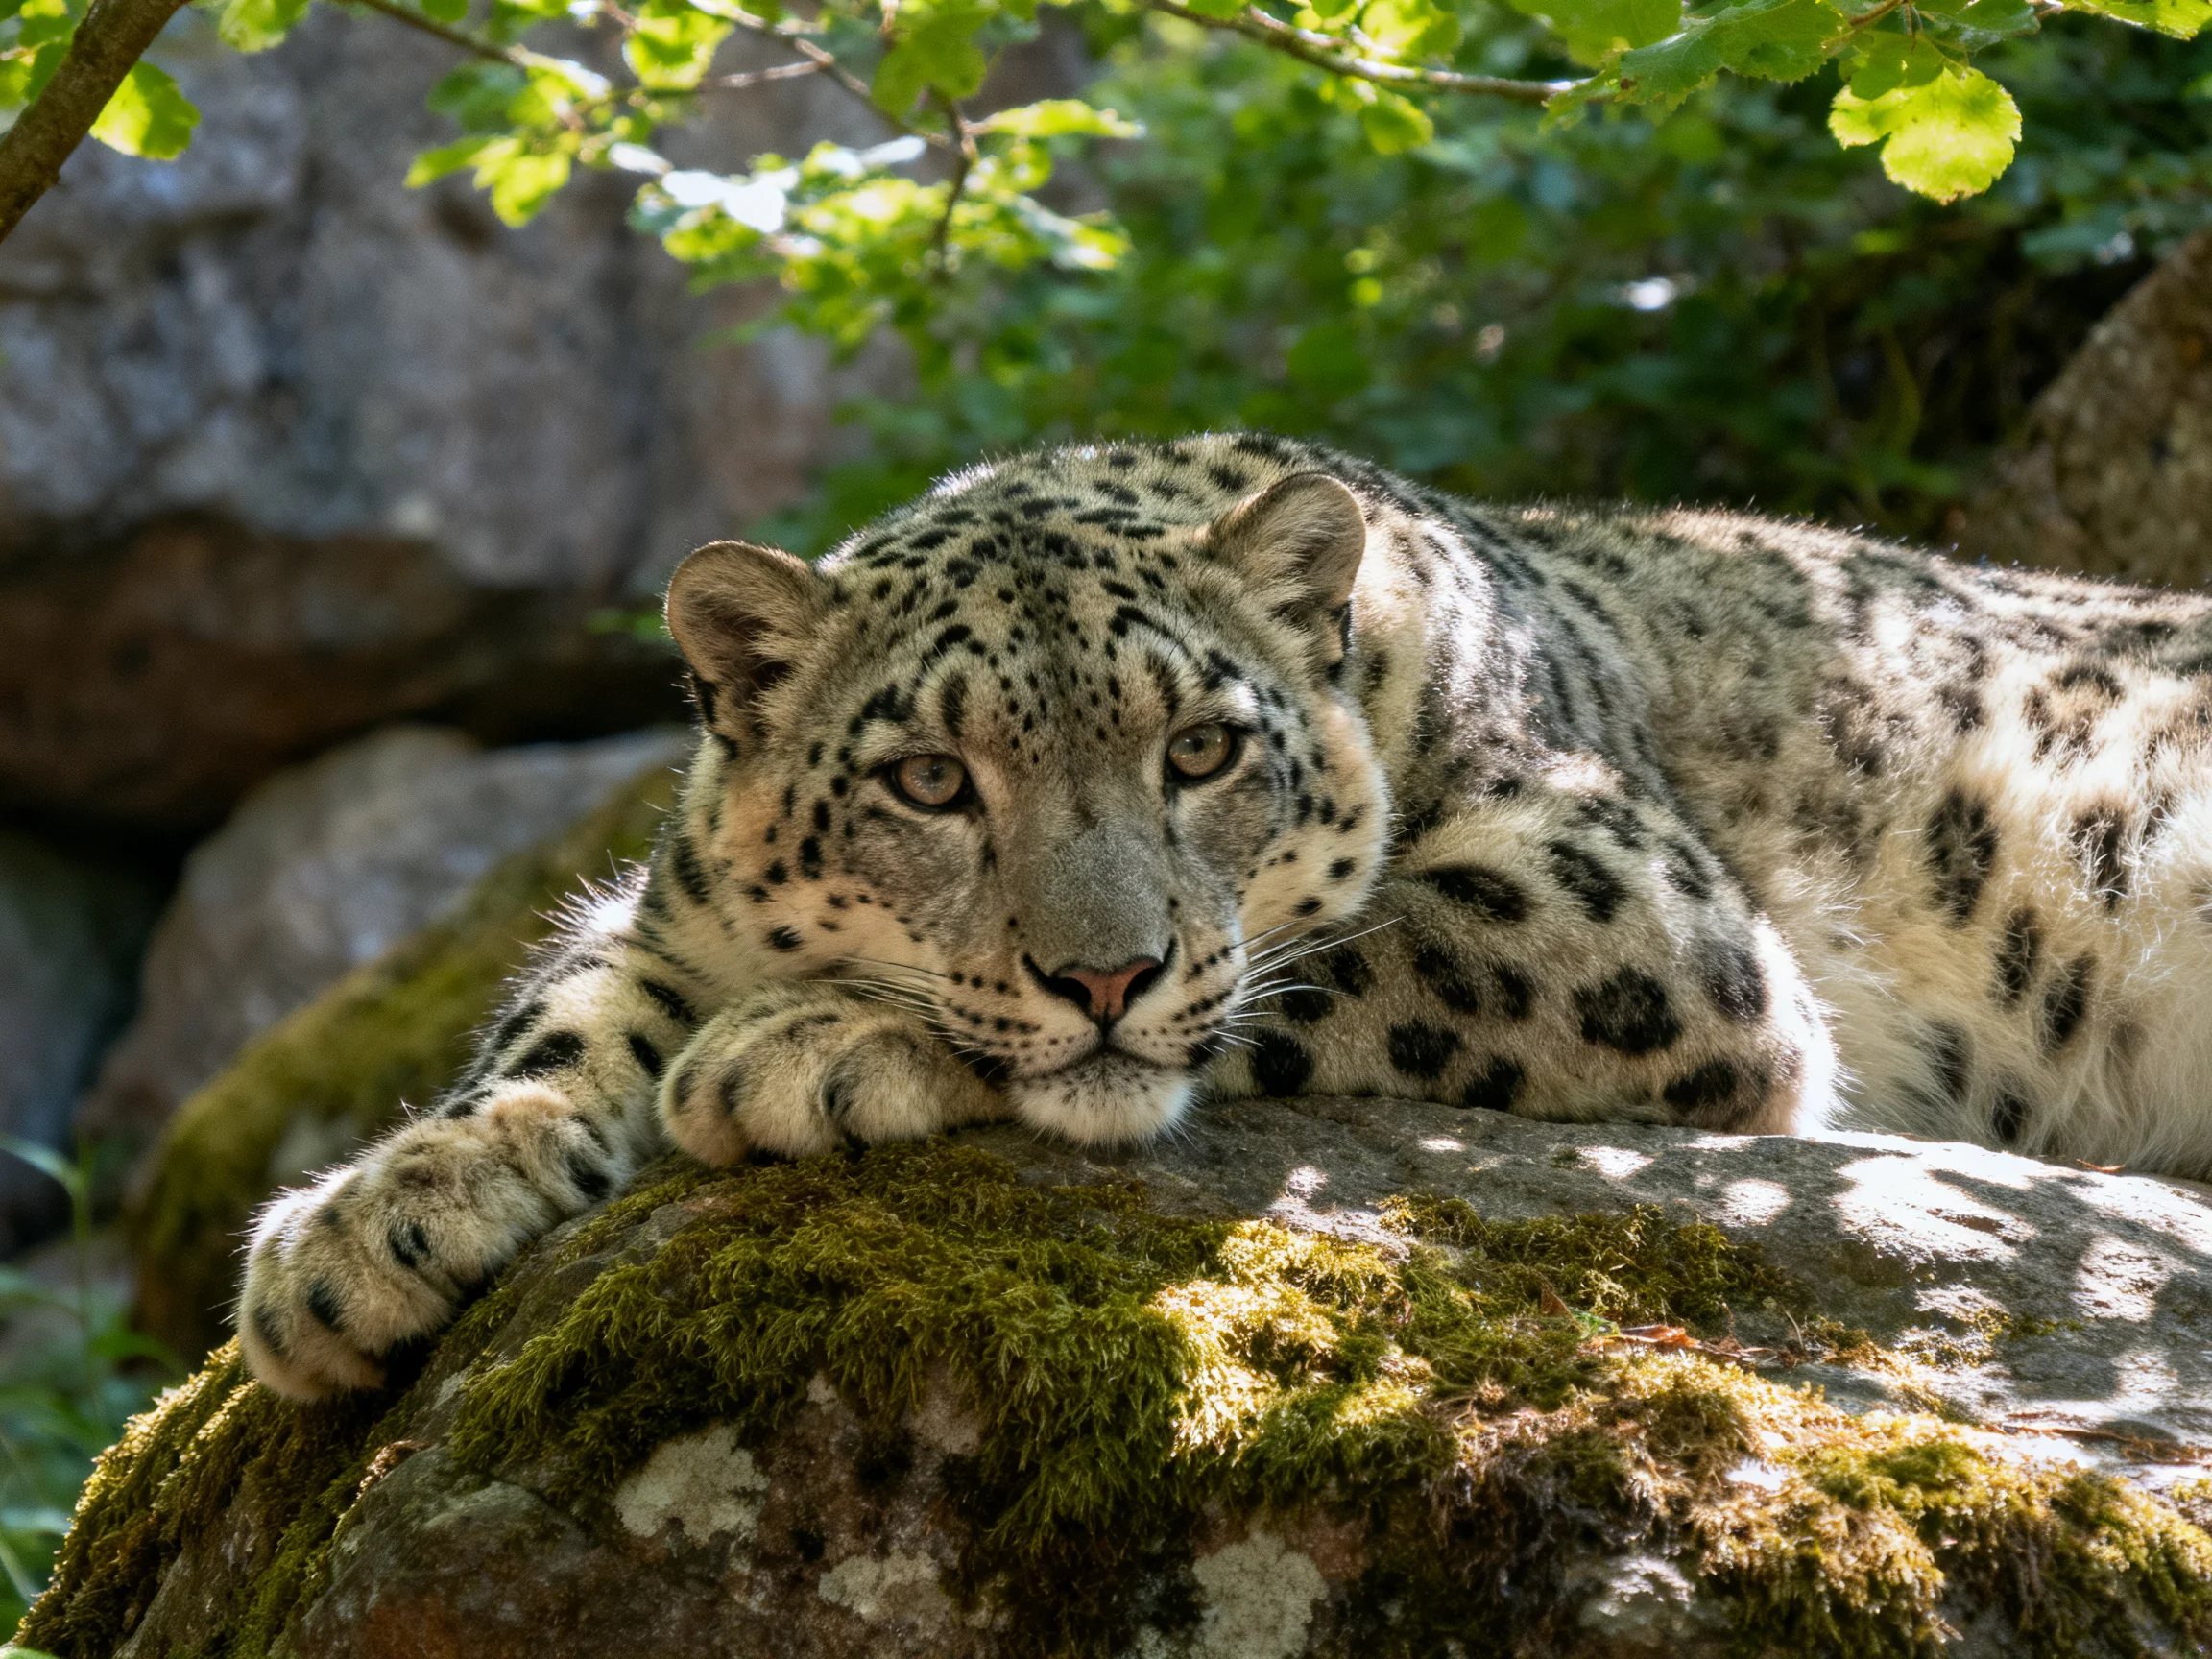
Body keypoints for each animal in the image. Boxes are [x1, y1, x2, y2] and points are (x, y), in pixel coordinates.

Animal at [240, 430, 2212, 1399]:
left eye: (1198, 744)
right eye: (928, 780)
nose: (1101, 970)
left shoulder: (1624, 903)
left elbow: (1351, 957)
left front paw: (805, 1050)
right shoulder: (667, 918)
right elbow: (569, 1004)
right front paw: (362, 1232)